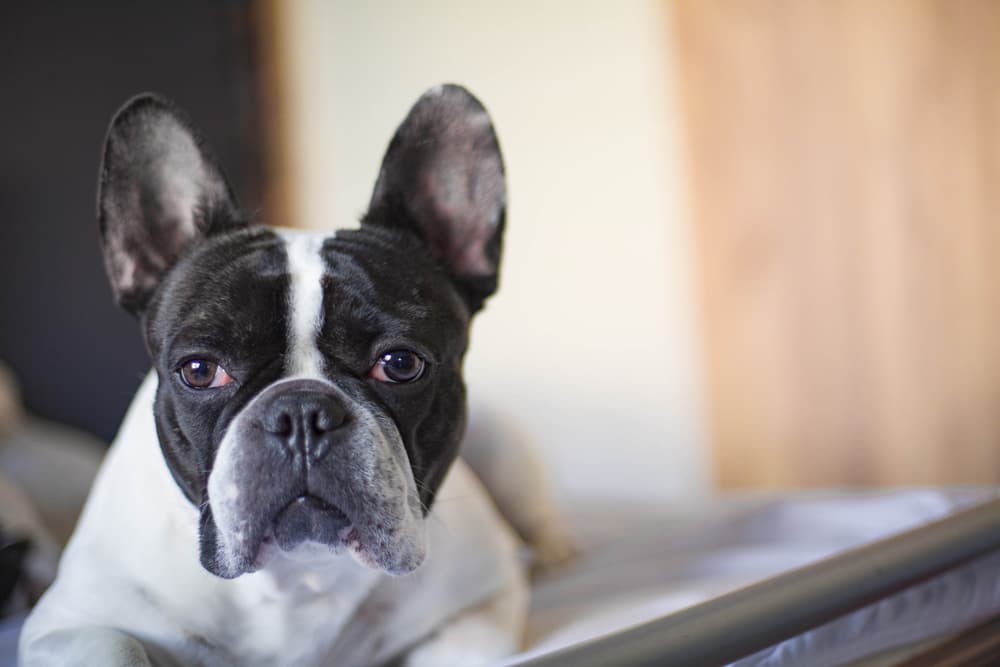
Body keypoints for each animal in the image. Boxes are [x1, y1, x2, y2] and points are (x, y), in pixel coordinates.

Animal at [19, 85, 532, 667]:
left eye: (401, 364)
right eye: (199, 371)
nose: (302, 412)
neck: (301, 572)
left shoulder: (484, 605)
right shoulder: (70, 622)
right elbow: (116, 646)